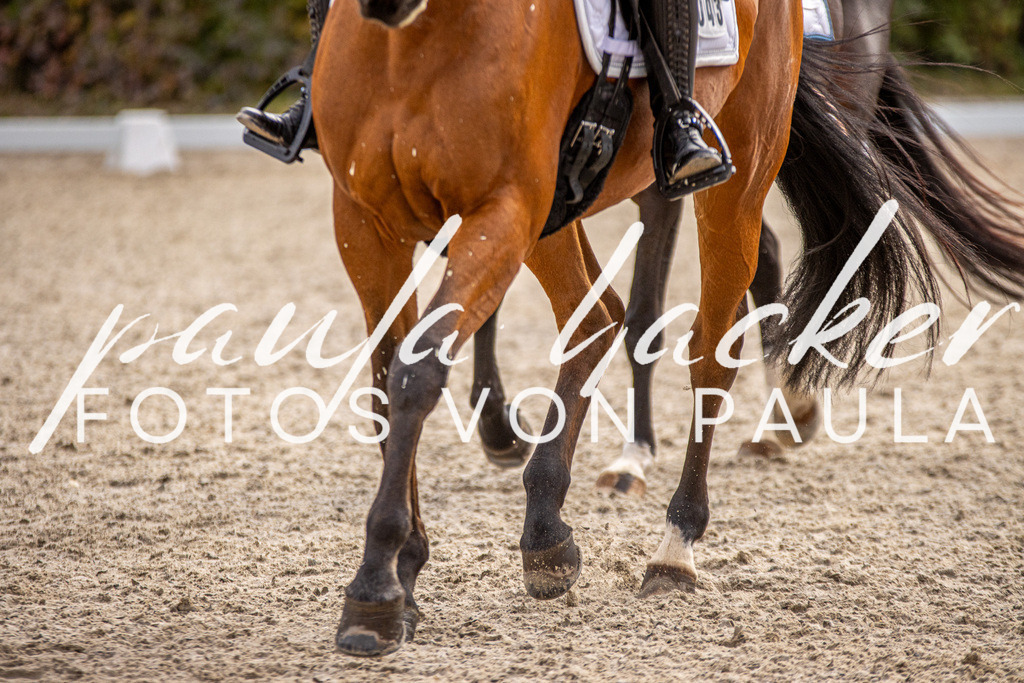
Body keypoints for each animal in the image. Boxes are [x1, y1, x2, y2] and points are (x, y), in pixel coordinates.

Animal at [312, 0, 1024, 657]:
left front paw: (377, 588)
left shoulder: (516, 205)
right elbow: (388, 379)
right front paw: (405, 569)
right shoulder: (366, 223)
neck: (416, 39)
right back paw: (552, 526)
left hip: (733, 177)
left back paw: (676, 543)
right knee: (603, 316)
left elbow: (425, 372)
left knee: (709, 347)